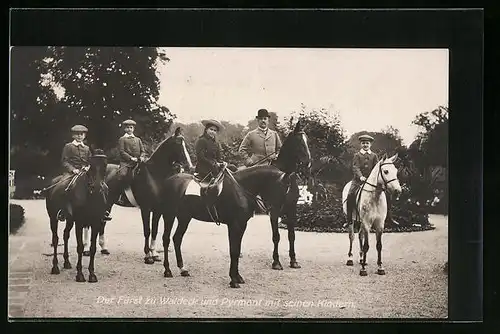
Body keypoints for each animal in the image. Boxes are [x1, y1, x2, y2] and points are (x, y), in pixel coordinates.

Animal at [44, 150, 109, 284]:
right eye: (91, 166)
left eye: (105, 166)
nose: (97, 188)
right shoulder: (79, 222)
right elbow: (80, 247)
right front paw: (80, 275)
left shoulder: (96, 223)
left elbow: (93, 248)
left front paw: (92, 274)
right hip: (53, 218)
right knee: (55, 239)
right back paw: (55, 267)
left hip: (69, 220)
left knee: (65, 235)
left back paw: (67, 262)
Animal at [103, 128, 191, 264]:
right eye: (178, 143)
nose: (189, 165)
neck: (154, 175)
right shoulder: (146, 208)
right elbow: (147, 230)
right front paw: (148, 256)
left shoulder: (157, 210)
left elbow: (154, 230)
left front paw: (154, 254)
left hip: (109, 203)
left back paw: (103, 248)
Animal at [160, 121, 310, 288]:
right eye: (299, 142)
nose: (308, 163)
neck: (242, 187)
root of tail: (170, 179)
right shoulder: (235, 224)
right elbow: (234, 250)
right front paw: (233, 279)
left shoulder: (243, 223)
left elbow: (237, 250)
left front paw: (237, 277)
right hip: (169, 215)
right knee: (166, 239)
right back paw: (168, 270)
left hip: (184, 217)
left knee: (177, 238)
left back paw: (183, 269)